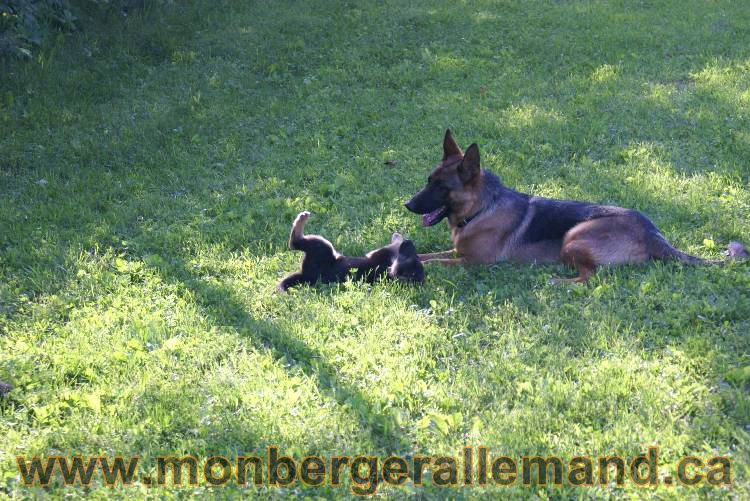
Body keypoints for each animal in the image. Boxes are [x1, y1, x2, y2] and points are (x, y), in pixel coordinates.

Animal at [280, 210, 426, 290]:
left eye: (408, 257)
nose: (409, 242)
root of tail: (305, 276)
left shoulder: (380, 255)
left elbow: (393, 246)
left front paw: (398, 238)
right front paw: (398, 236)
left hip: (322, 248)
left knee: (295, 243)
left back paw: (302, 219)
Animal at [408, 129, 748, 282]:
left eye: (441, 188)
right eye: (428, 180)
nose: (408, 205)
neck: (481, 208)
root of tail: (654, 235)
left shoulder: (473, 263)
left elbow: (435, 262)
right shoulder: (457, 251)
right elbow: (427, 254)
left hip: (573, 235)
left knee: (590, 277)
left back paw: (557, 280)